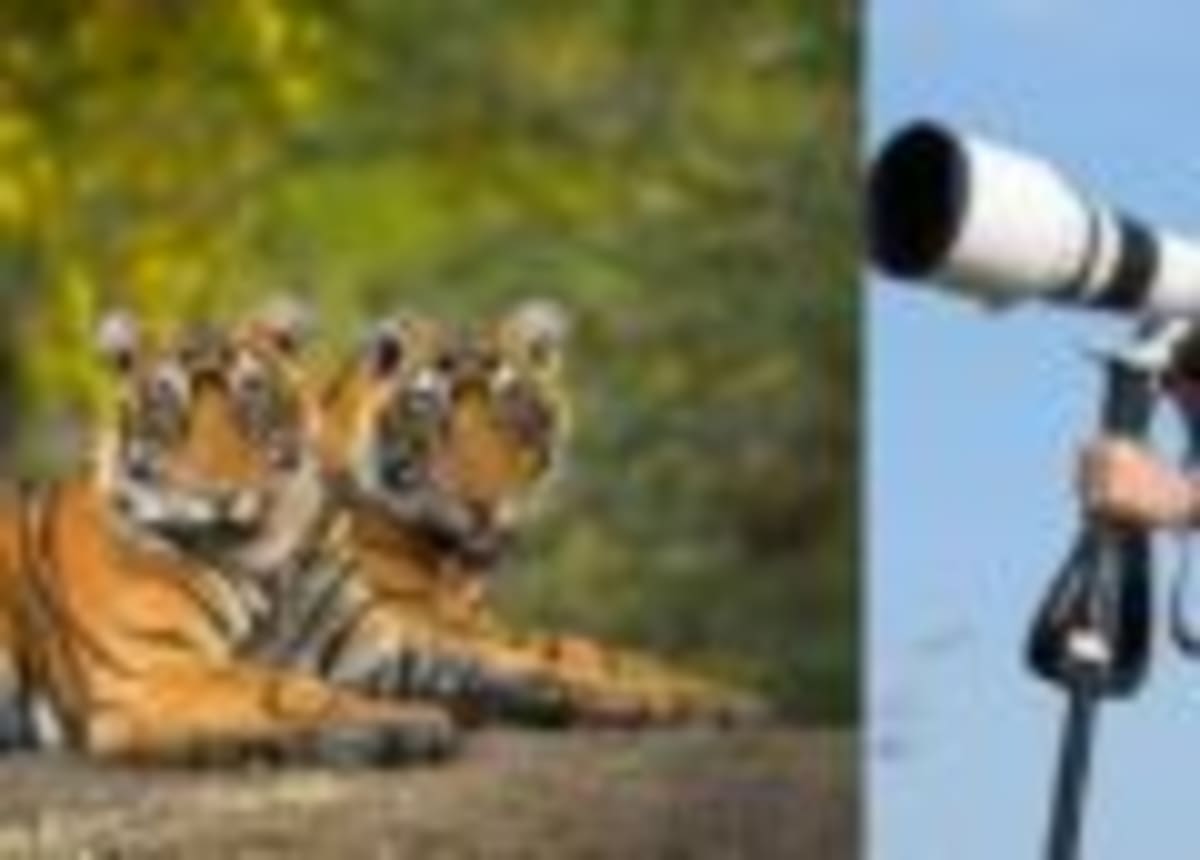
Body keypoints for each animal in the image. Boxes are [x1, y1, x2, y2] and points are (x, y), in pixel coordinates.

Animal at [0, 311, 458, 765]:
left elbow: (451, 656)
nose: (216, 493)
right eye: (168, 402)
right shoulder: (154, 672)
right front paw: (404, 722)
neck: (263, 556)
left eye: (250, 394)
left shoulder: (361, 642)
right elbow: (286, 689)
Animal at [312, 300, 768, 726]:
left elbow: (596, 653)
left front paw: (725, 695)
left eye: (510, 408)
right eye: (433, 414)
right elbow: (560, 660)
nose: (483, 502)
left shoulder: (473, 621)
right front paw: (688, 699)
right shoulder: (416, 619)